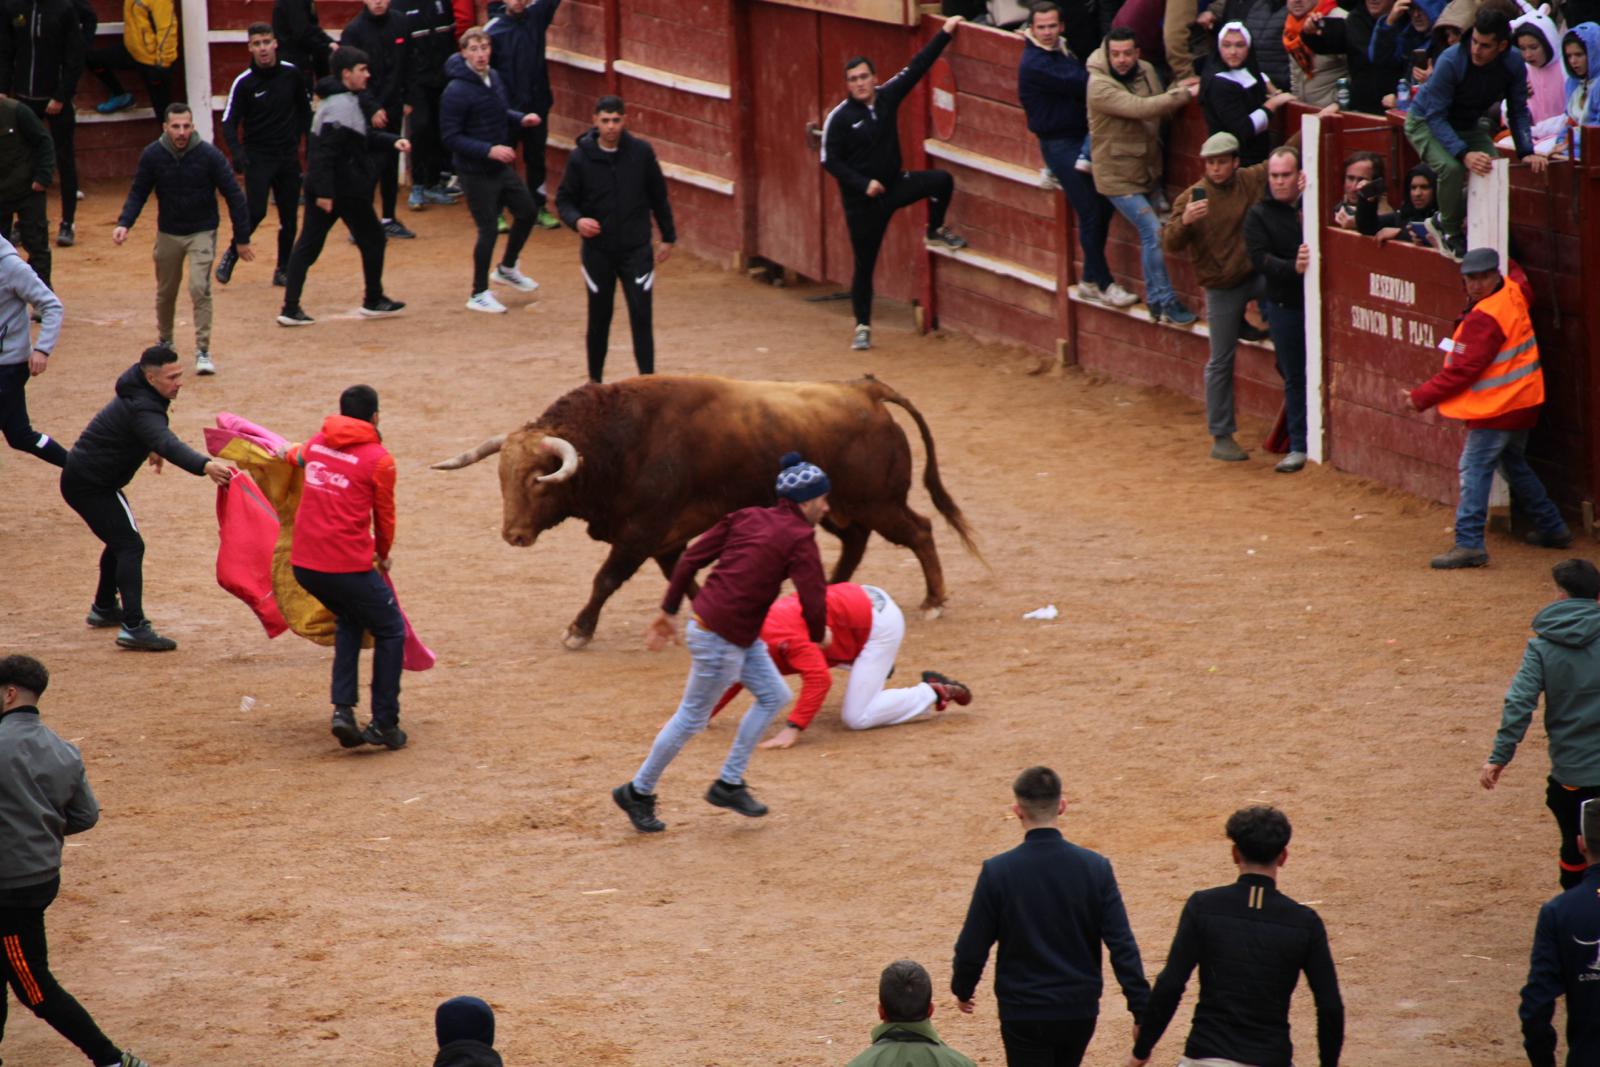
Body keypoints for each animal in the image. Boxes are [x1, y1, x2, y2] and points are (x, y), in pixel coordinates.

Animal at [432, 375, 972, 646]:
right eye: (502, 478)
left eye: (535, 480)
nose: (514, 535)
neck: (619, 441)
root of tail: (868, 393)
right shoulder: (664, 537)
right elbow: (684, 574)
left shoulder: (640, 533)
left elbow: (607, 579)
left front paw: (579, 630)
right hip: (837, 508)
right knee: (857, 541)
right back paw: (832, 593)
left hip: (879, 502)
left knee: (920, 530)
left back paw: (935, 600)